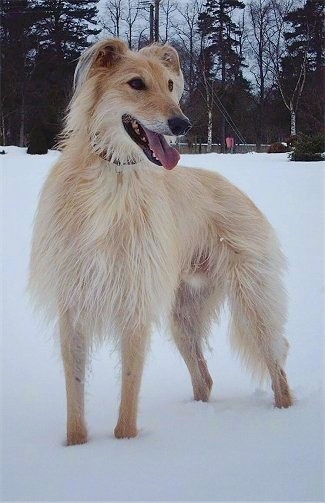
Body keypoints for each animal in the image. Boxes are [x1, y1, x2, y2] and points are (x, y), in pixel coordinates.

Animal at [29, 39, 292, 446]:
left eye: (170, 85)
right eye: (136, 83)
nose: (182, 125)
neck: (112, 178)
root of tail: (236, 189)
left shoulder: (135, 301)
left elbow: (129, 390)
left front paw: (126, 444)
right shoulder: (72, 304)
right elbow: (74, 393)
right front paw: (76, 447)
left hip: (254, 302)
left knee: (277, 368)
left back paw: (282, 418)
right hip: (184, 316)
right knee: (204, 378)